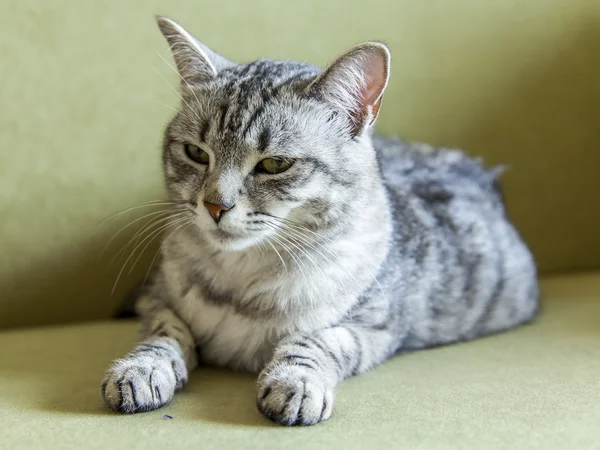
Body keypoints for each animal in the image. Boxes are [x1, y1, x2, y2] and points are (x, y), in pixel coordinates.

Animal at [99, 16, 540, 426]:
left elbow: (314, 342)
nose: (214, 205)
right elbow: (164, 334)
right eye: (195, 153)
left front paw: (295, 383)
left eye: (274, 164)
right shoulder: (158, 299)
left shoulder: (373, 328)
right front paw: (141, 369)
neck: (239, 278)